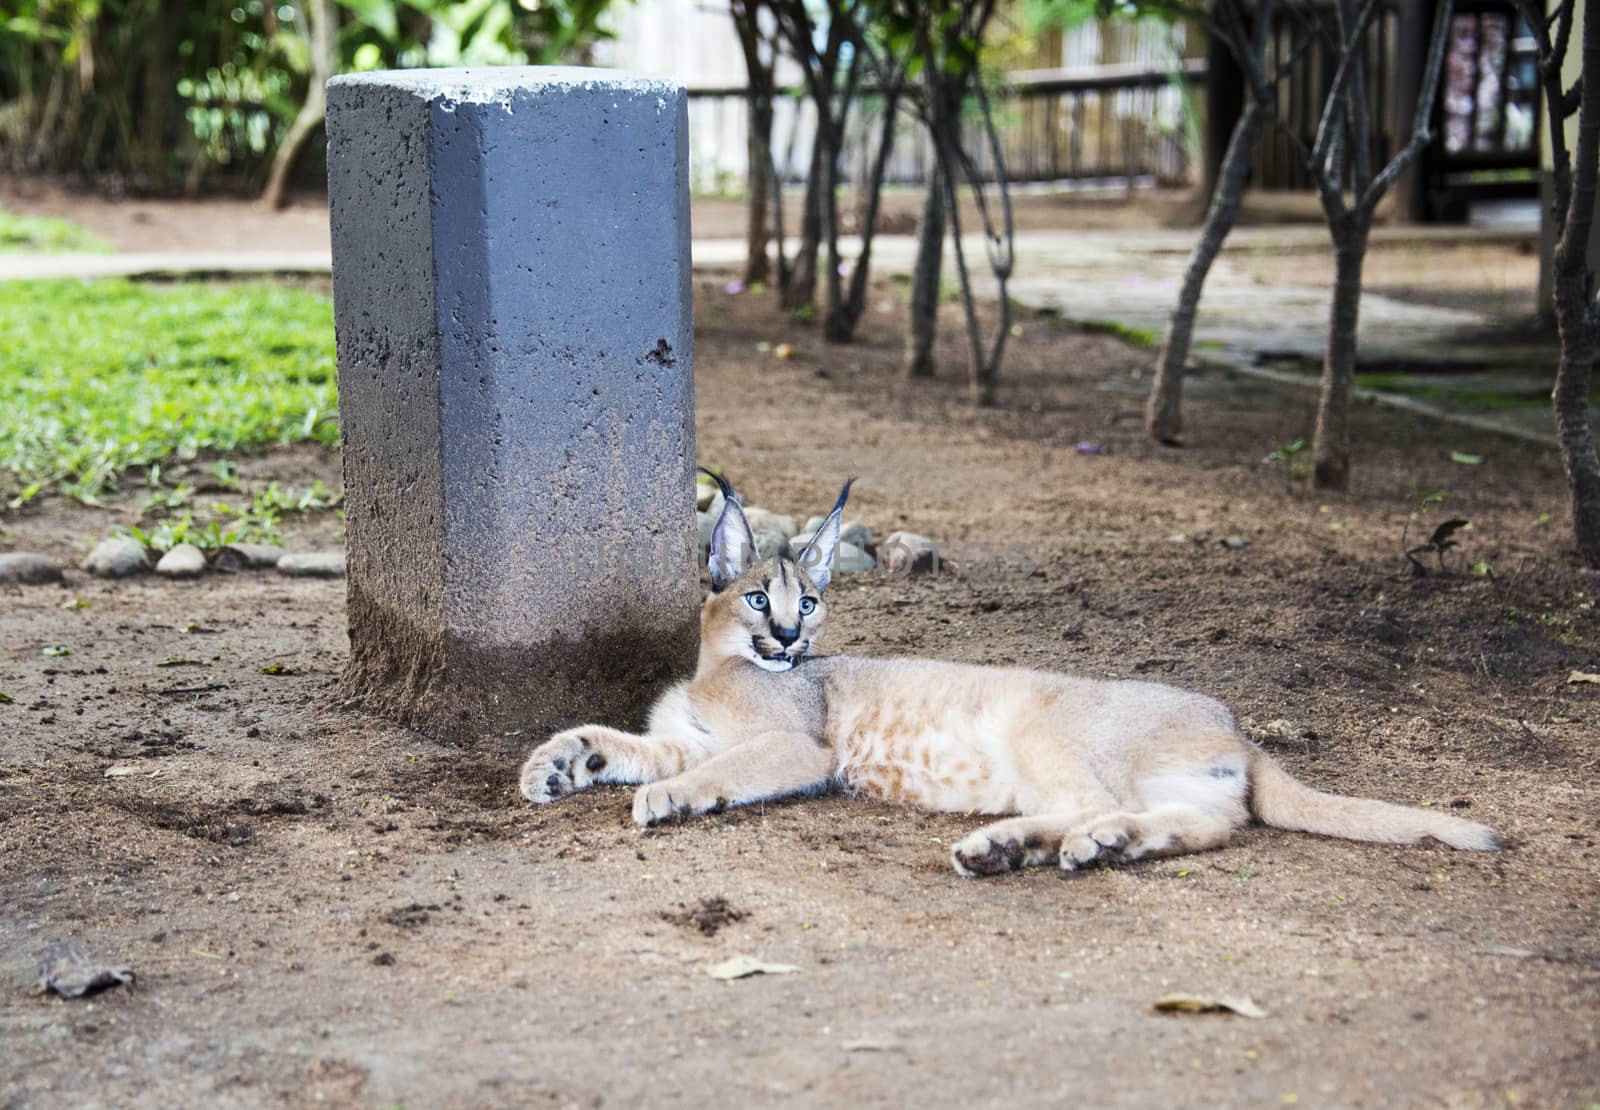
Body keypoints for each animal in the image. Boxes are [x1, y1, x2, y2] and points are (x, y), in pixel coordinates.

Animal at [521, 470, 1497, 876]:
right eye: (760, 598)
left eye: (814, 602)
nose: (791, 638)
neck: (717, 665)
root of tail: (1235, 727)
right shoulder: (687, 734)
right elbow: (630, 741)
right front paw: (562, 763)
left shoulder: (799, 750)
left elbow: (713, 769)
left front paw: (663, 799)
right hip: (1183, 789)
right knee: (1206, 825)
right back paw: (1090, 846)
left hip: (1040, 729)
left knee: (1096, 803)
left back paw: (1016, 846)